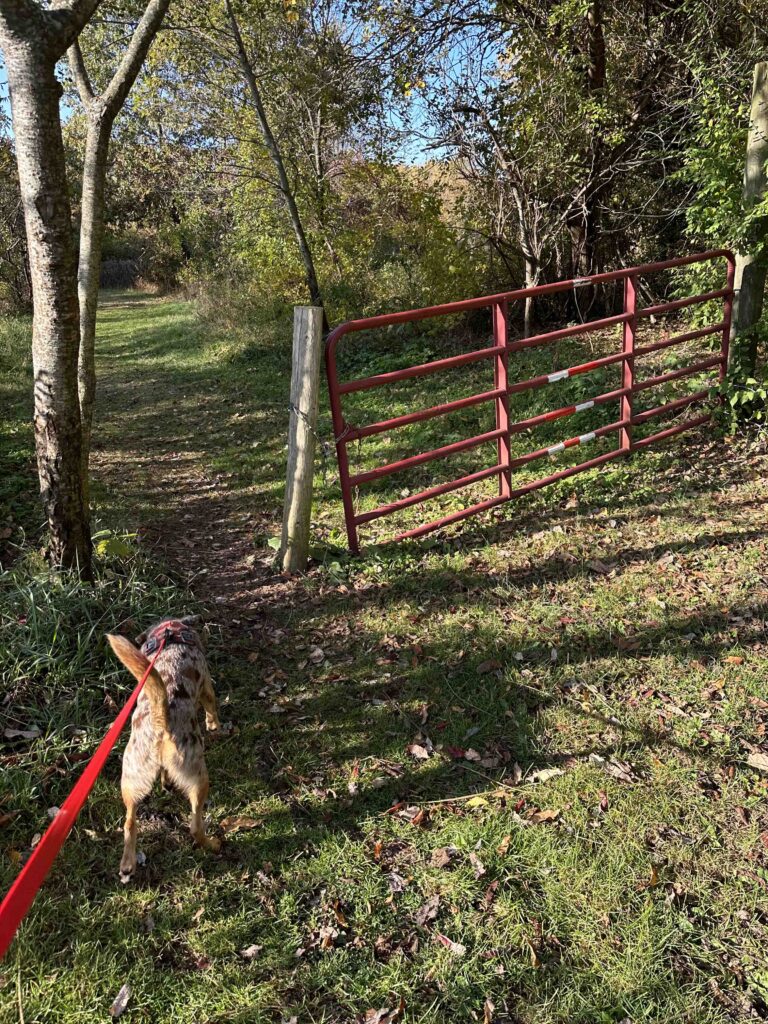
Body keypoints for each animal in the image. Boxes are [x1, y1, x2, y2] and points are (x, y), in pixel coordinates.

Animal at [105, 614, 221, 880]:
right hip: (199, 777)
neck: (170, 636)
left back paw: (128, 863)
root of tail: (161, 720)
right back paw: (212, 844)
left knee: (129, 822)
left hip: (130, 778)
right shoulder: (207, 686)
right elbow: (211, 707)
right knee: (195, 826)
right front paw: (214, 725)